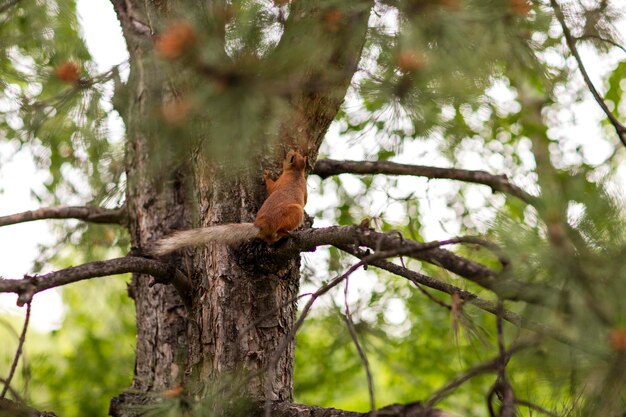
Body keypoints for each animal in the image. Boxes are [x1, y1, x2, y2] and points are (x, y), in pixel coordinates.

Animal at [151, 148, 308, 255]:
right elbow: (273, 188)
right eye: (291, 154)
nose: (288, 150)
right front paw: (266, 174)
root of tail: (261, 224)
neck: (296, 173)